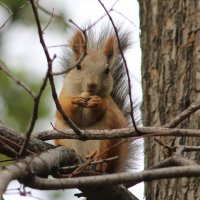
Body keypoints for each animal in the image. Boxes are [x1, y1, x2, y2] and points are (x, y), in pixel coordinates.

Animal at [54, 24, 134, 173]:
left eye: (107, 70)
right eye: (78, 66)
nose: (92, 85)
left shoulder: (108, 102)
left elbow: (99, 110)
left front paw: (97, 103)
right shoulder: (63, 95)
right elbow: (62, 111)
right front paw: (75, 101)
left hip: (110, 134)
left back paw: (98, 160)